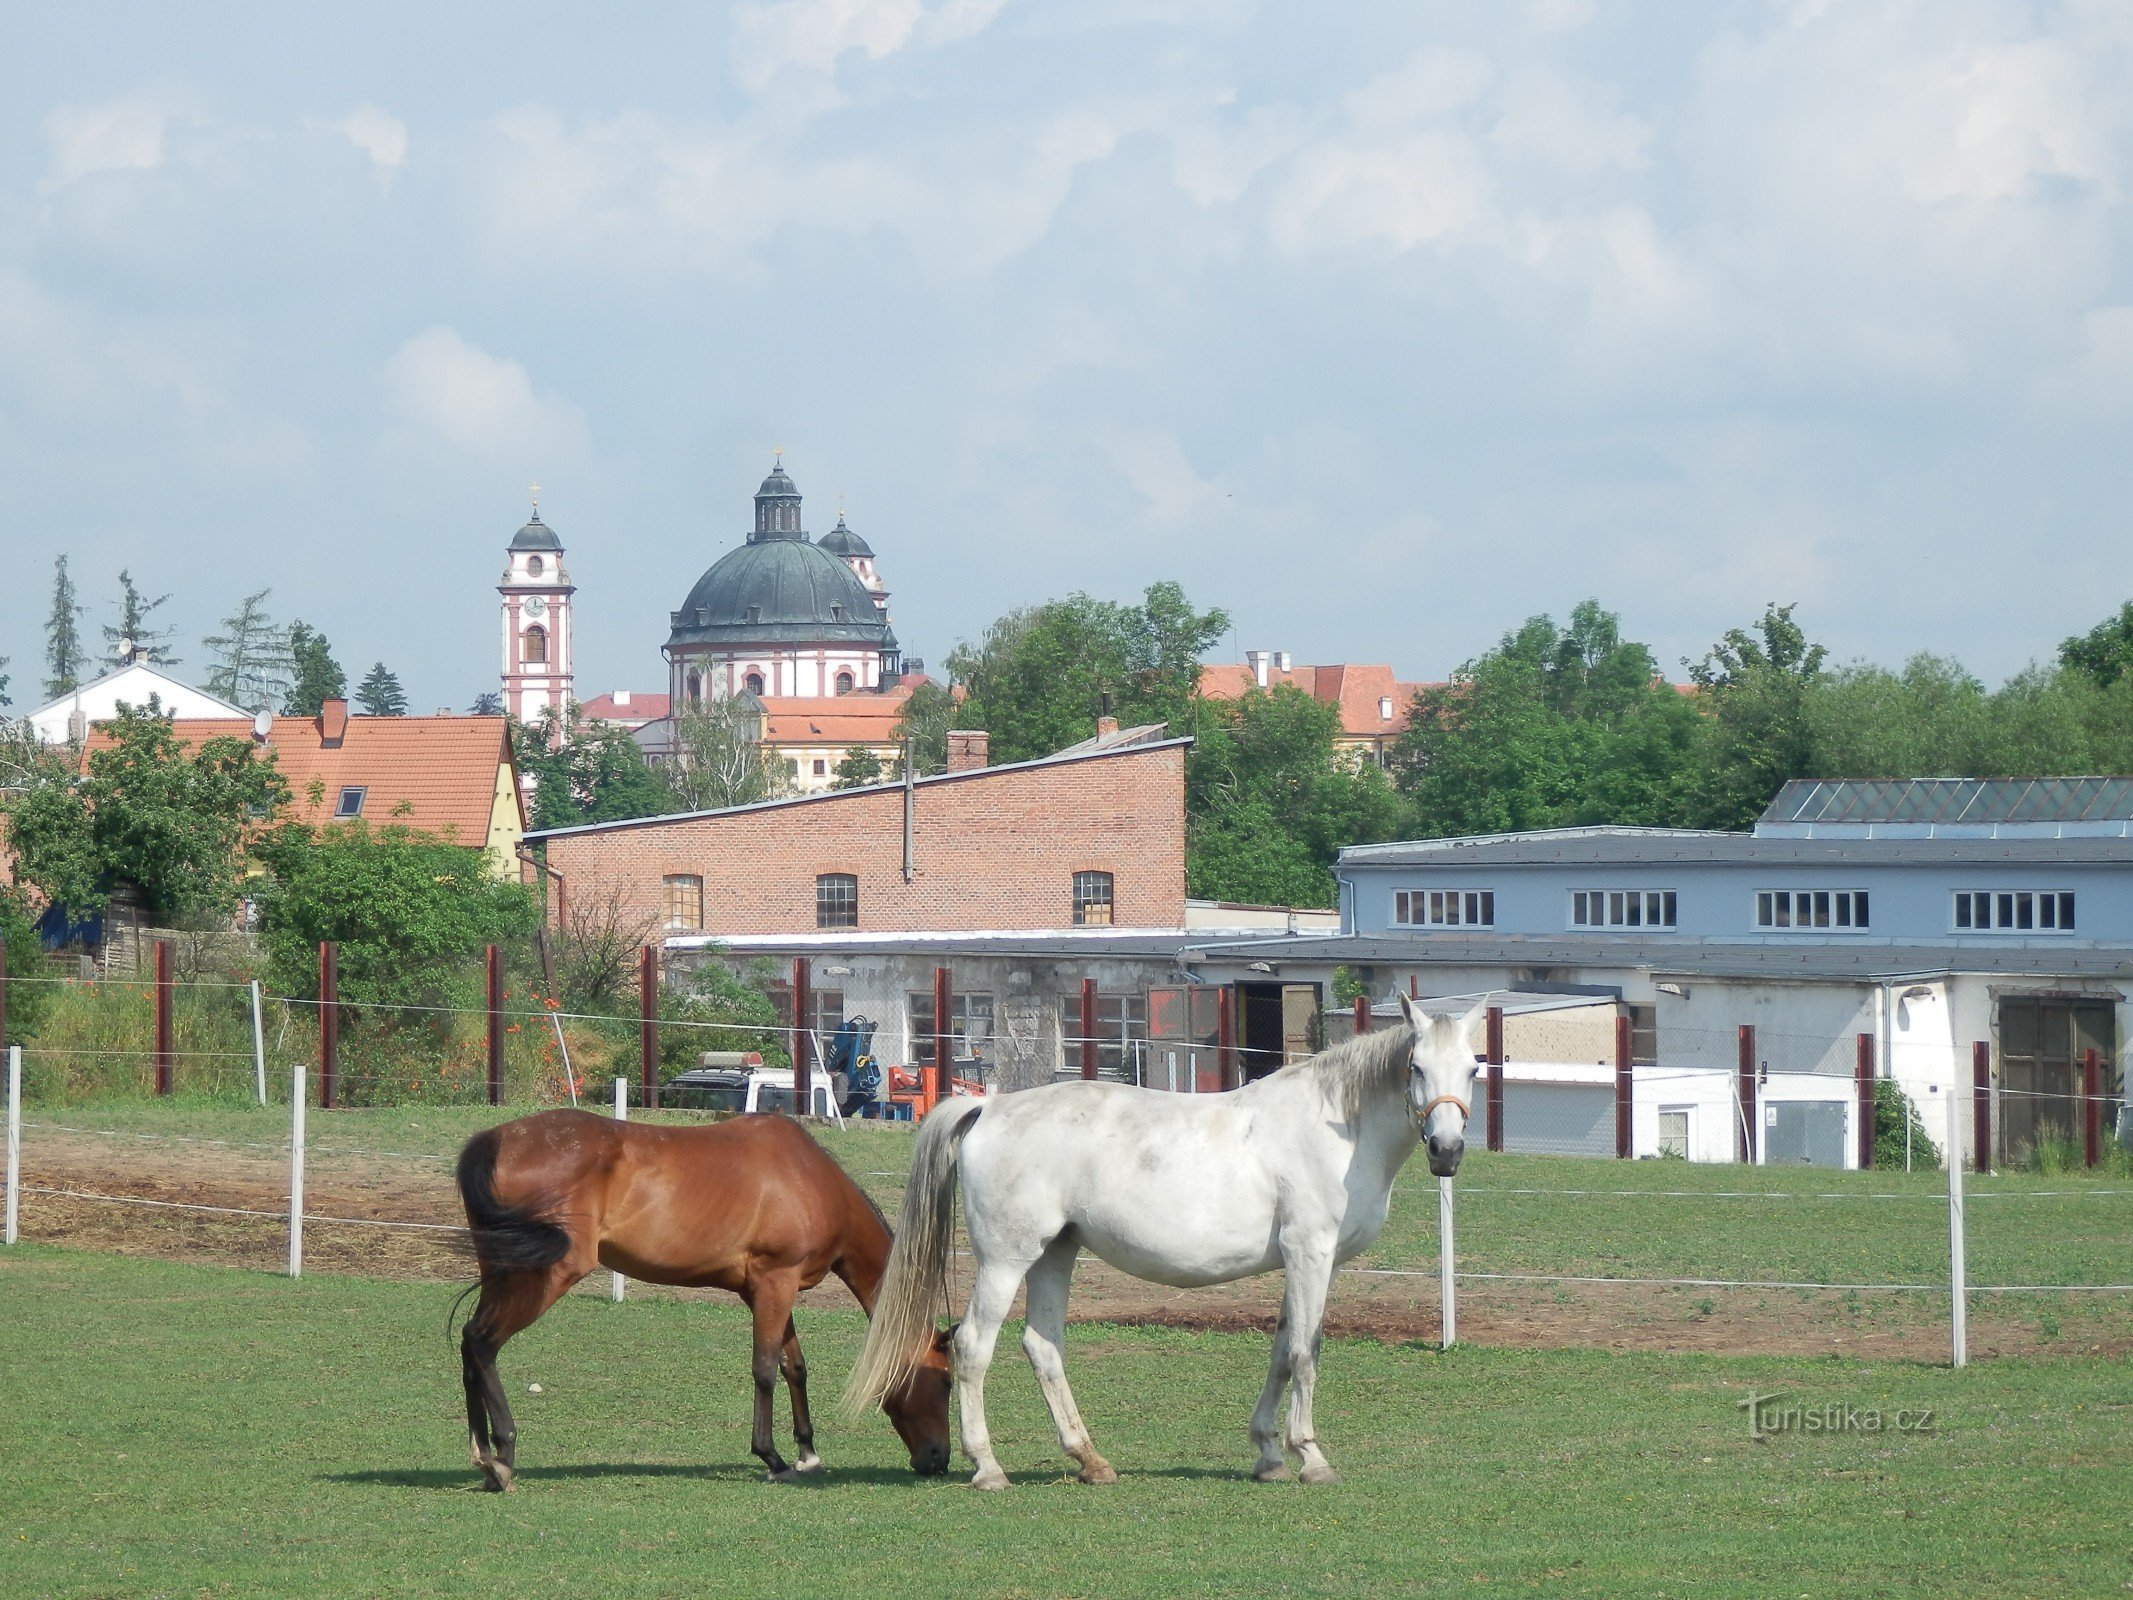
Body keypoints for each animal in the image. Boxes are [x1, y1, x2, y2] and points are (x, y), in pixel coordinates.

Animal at [452, 1109, 951, 1501]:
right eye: (945, 1381)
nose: (939, 1459)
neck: (808, 1177)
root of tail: (494, 1139)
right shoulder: (774, 1283)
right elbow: (765, 1369)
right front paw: (773, 1458)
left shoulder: (773, 1289)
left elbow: (794, 1366)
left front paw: (807, 1453)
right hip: (548, 1274)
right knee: (482, 1343)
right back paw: (503, 1456)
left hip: (503, 1270)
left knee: (468, 1341)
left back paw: (483, 1456)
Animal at [848, 998, 1484, 1501]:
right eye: (1417, 1066)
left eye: (1474, 1067)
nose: (1447, 1151)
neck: (1335, 1129)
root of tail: (992, 1107)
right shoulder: (1311, 1254)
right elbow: (1307, 1351)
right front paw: (1310, 1456)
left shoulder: (1294, 1262)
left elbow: (1281, 1352)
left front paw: (1269, 1455)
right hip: (1007, 1260)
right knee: (974, 1346)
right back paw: (988, 1468)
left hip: (1055, 1254)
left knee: (1043, 1346)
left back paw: (1090, 1460)